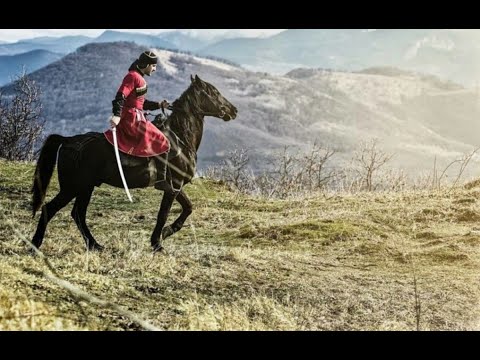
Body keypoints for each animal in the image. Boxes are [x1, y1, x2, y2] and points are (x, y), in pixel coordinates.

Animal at [31, 74, 237, 252]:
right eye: (213, 92)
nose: (234, 111)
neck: (180, 139)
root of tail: (67, 140)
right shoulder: (173, 186)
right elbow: (163, 214)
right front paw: (157, 243)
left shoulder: (177, 187)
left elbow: (188, 208)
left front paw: (165, 234)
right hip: (73, 187)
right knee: (51, 208)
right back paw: (35, 245)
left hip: (86, 187)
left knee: (78, 214)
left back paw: (95, 245)